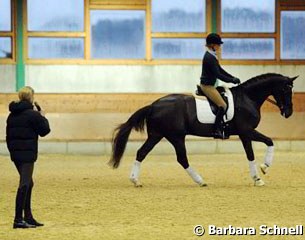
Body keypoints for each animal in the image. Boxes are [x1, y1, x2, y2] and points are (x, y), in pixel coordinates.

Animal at [108, 73, 296, 188]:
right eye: (286, 89)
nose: (288, 113)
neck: (247, 98)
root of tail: (153, 105)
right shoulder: (247, 131)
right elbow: (267, 143)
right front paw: (263, 169)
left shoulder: (245, 134)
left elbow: (254, 152)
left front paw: (259, 176)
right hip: (176, 137)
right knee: (182, 158)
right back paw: (200, 181)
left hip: (157, 135)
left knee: (142, 153)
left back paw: (135, 180)